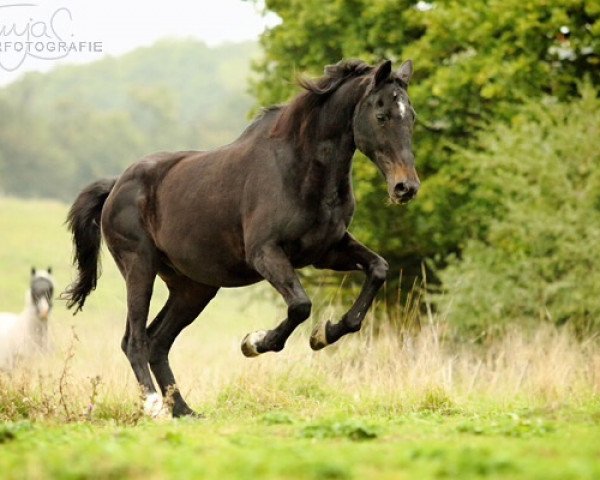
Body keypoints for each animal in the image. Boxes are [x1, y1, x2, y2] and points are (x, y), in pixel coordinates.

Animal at [62, 58, 418, 418]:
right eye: (382, 115)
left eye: (412, 117)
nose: (406, 187)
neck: (300, 169)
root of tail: (116, 185)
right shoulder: (266, 253)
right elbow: (300, 305)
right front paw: (254, 343)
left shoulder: (327, 251)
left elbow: (378, 269)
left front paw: (324, 334)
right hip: (140, 268)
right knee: (134, 340)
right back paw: (154, 407)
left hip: (193, 288)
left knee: (157, 342)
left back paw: (185, 411)